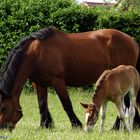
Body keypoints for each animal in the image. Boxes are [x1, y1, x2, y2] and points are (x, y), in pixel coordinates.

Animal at [0, 27, 139, 130]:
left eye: (3, 108)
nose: (2, 127)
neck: (37, 52)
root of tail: (132, 41)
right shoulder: (39, 83)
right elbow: (42, 104)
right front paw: (44, 126)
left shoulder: (58, 81)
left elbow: (66, 104)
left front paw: (76, 125)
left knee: (125, 104)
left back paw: (116, 127)